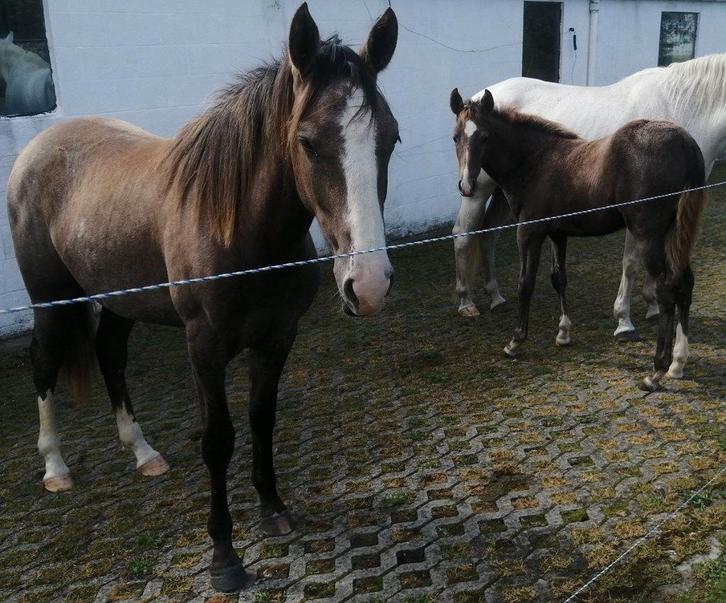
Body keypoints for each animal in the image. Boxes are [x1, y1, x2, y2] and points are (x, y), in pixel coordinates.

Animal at [7, 3, 399, 591]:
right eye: (307, 141)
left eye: (391, 138)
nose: (368, 284)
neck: (239, 234)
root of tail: (40, 146)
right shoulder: (205, 348)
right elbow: (218, 440)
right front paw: (224, 557)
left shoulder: (277, 340)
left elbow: (262, 418)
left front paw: (273, 509)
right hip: (51, 301)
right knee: (44, 363)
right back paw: (55, 467)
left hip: (120, 301)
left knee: (110, 357)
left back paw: (143, 452)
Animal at [450, 88, 706, 392]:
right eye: (456, 137)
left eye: (485, 137)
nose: (467, 186)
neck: (536, 161)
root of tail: (685, 142)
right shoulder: (558, 233)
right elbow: (558, 278)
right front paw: (563, 333)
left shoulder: (529, 231)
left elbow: (526, 283)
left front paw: (515, 342)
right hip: (673, 233)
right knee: (684, 283)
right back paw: (678, 364)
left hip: (648, 234)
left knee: (666, 290)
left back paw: (655, 372)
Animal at [451, 54, 726, 340]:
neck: (677, 106)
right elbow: (630, 262)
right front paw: (624, 320)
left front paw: (651, 305)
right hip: (477, 189)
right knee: (463, 233)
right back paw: (466, 301)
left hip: (503, 194)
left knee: (488, 234)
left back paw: (495, 296)